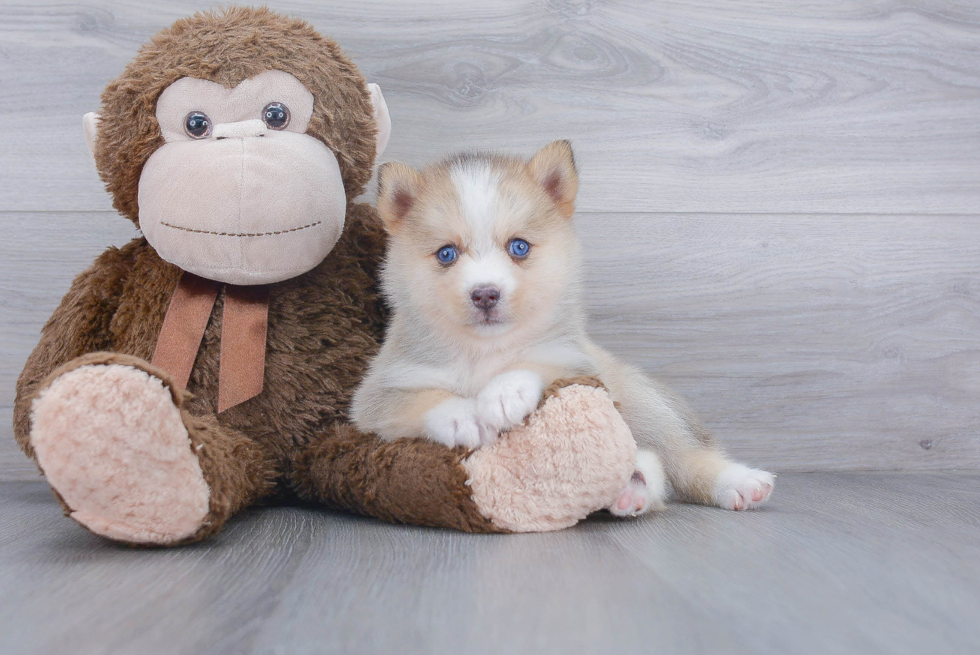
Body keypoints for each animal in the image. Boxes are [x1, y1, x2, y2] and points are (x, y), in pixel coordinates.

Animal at [352, 141, 772, 516]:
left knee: (683, 457)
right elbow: (418, 400)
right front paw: (462, 415)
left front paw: (504, 392)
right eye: (446, 254)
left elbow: (535, 363)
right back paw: (633, 486)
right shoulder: (375, 396)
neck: (482, 353)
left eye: (519, 247)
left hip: (644, 406)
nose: (485, 294)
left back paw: (736, 482)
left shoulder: (574, 361)